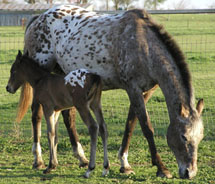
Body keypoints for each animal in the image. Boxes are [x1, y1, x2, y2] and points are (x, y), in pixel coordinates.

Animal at [15, 5, 204, 179]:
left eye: (200, 137)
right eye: (184, 136)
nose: (189, 172)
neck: (144, 44)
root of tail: (39, 18)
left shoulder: (143, 92)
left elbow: (130, 125)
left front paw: (124, 164)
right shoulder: (133, 88)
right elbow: (146, 128)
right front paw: (161, 168)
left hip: (63, 76)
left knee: (68, 115)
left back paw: (81, 158)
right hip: (42, 72)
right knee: (37, 114)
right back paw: (39, 160)